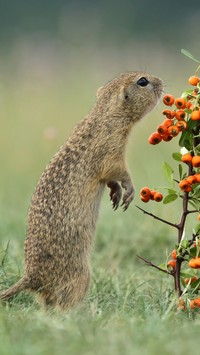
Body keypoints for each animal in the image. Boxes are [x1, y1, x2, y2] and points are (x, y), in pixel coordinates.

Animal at [0, 71, 162, 310]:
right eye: (142, 82)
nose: (161, 82)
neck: (105, 115)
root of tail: (32, 278)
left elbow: (109, 179)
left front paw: (116, 193)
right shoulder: (111, 150)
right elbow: (118, 171)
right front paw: (129, 191)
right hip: (81, 276)